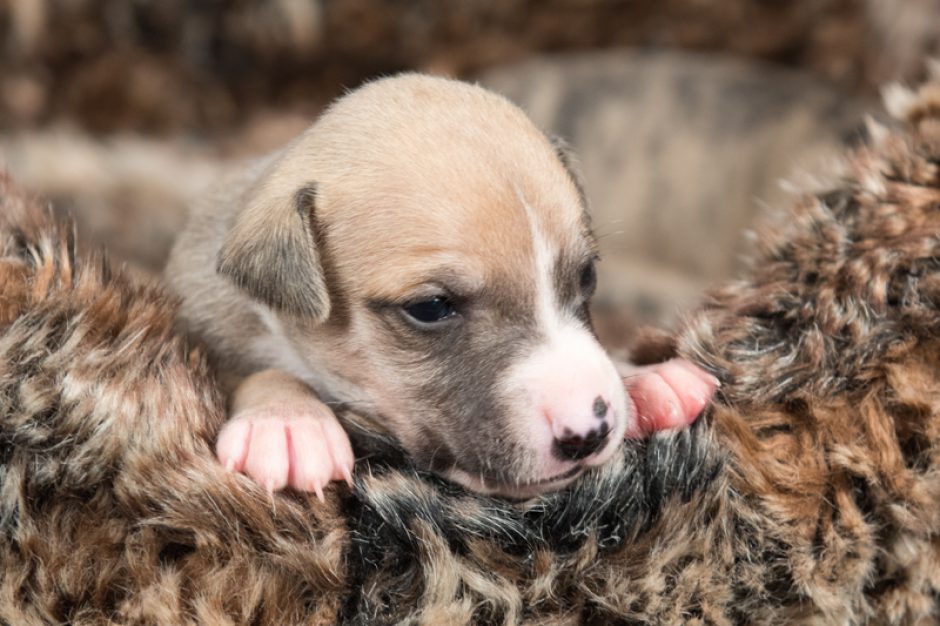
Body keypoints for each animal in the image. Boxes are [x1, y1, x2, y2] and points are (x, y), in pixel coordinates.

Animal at [167, 73, 712, 494]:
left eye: (589, 275)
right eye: (430, 307)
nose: (590, 431)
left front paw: (645, 378)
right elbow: (252, 373)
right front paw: (287, 422)